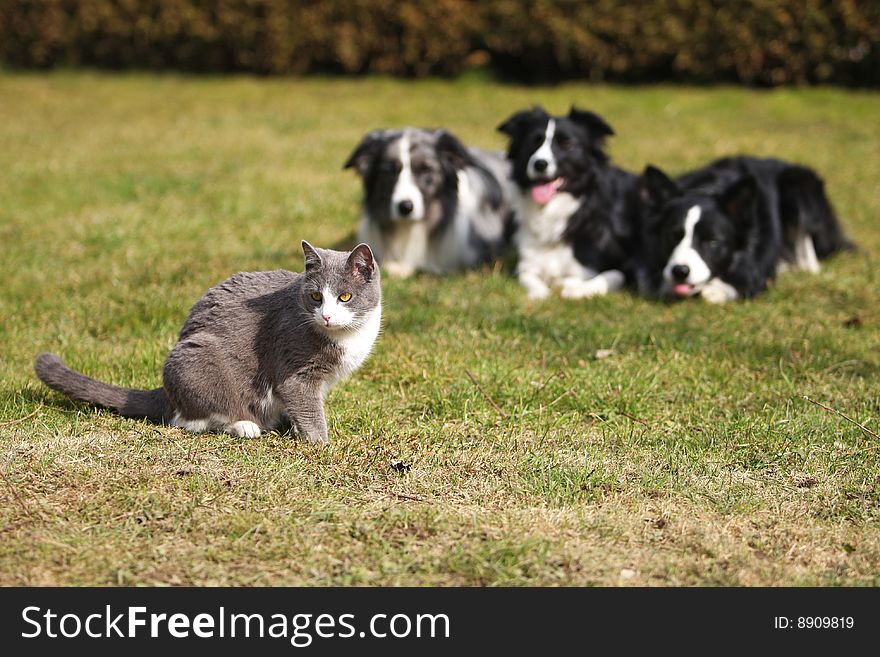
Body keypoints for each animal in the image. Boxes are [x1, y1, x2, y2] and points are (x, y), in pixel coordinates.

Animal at [34, 238, 380, 444]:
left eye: (345, 297)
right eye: (315, 297)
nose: (326, 316)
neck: (346, 336)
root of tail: (166, 392)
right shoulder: (294, 367)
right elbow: (306, 406)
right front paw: (321, 443)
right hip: (196, 360)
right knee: (189, 420)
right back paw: (244, 426)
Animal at [496, 105, 640, 300]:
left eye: (566, 144)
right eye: (532, 143)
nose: (539, 164)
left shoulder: (624, 265)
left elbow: (606, 276)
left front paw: (572, 287)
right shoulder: (528, 262)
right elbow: (528, 276)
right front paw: (540, 293)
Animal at [636, 156, 856, 302]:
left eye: (712, 241)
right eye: (672, 237)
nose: (680, 272)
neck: (709, 191)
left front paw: (716, 290)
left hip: (799, 187)